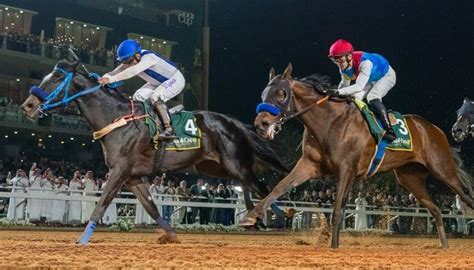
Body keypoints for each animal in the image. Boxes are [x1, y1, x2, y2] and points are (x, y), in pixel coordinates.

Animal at [20, 59, 286, 245]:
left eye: (56, 77)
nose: (28, 105)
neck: (117, 118)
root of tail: (235, 123)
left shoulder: (120, 171)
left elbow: (102, 204)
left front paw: (82, 239)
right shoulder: (133, 177)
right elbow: (151, 207)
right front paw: (171, 236)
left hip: (236, 164)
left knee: (262, 186)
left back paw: (279, 216)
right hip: (216, 168)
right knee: (250, 186)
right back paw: (255, 215)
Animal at [241, 63, 474, 249]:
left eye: (281, 94)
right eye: (263, 94)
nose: (261, 124)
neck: (329, 121)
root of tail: (435, 129)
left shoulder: (347, 169)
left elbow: (338, 209)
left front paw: (334, 246)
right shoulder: (309, 165)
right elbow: (280, 187)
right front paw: (250, 217)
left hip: (442, 169)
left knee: (465, 196)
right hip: (410, 178)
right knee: (436, 209)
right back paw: (444, 245)